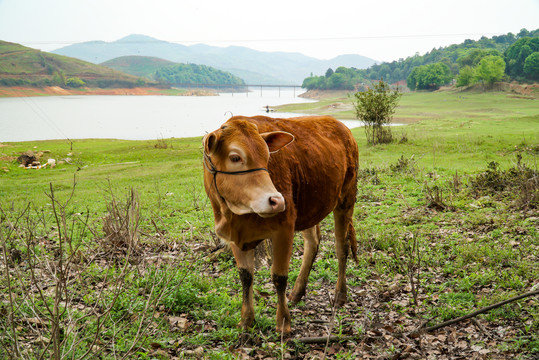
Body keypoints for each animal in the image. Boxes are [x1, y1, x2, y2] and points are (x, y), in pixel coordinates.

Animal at [202, 115, 358, 334]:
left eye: (268, 157)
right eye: (235, 157)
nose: (277, 200)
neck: (234, 215)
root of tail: (338, 123)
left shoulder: (284, 228)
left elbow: (279, 276)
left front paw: (283, 323)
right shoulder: (234, 236)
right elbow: (245, 276)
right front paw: (246, 320)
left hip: (346, 199)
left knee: (341, 246)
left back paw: (339, 295)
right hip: (309, 205)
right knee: (313, 242)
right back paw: (297, 292)